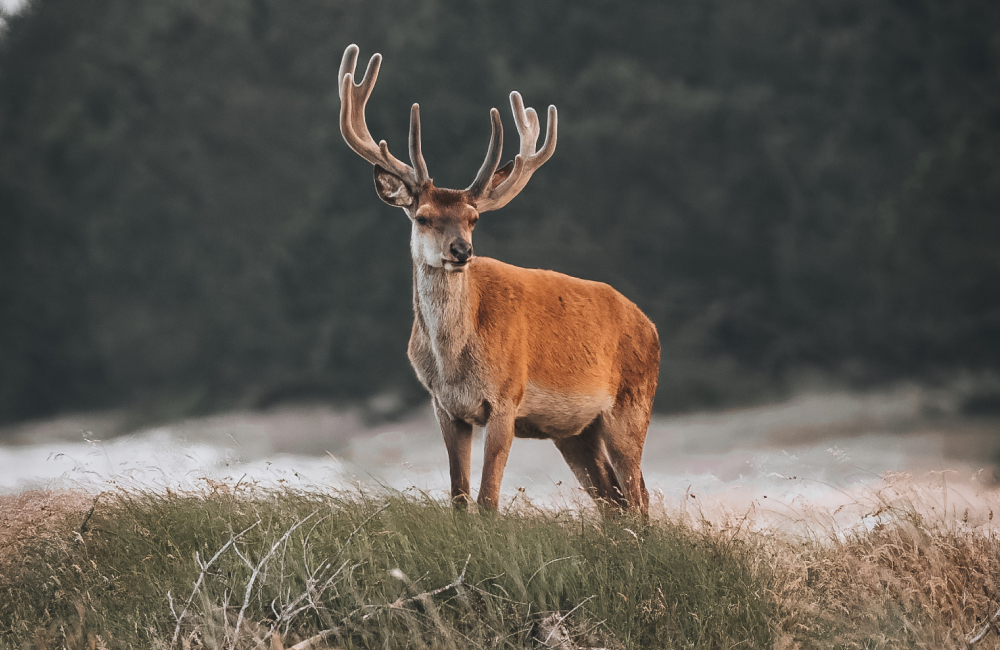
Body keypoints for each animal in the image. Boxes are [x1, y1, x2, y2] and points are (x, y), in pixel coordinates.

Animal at [338, 44, 660, 516]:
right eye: (423, 217)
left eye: (473, 219)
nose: (461, 251)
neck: (454, 362)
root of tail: (650, 326)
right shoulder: (444, 407)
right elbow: (458, 496)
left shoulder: (506, 398)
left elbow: (488, 499)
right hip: (575, 431)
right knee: (613, 502)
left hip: (631, 406)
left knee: (638, 498)